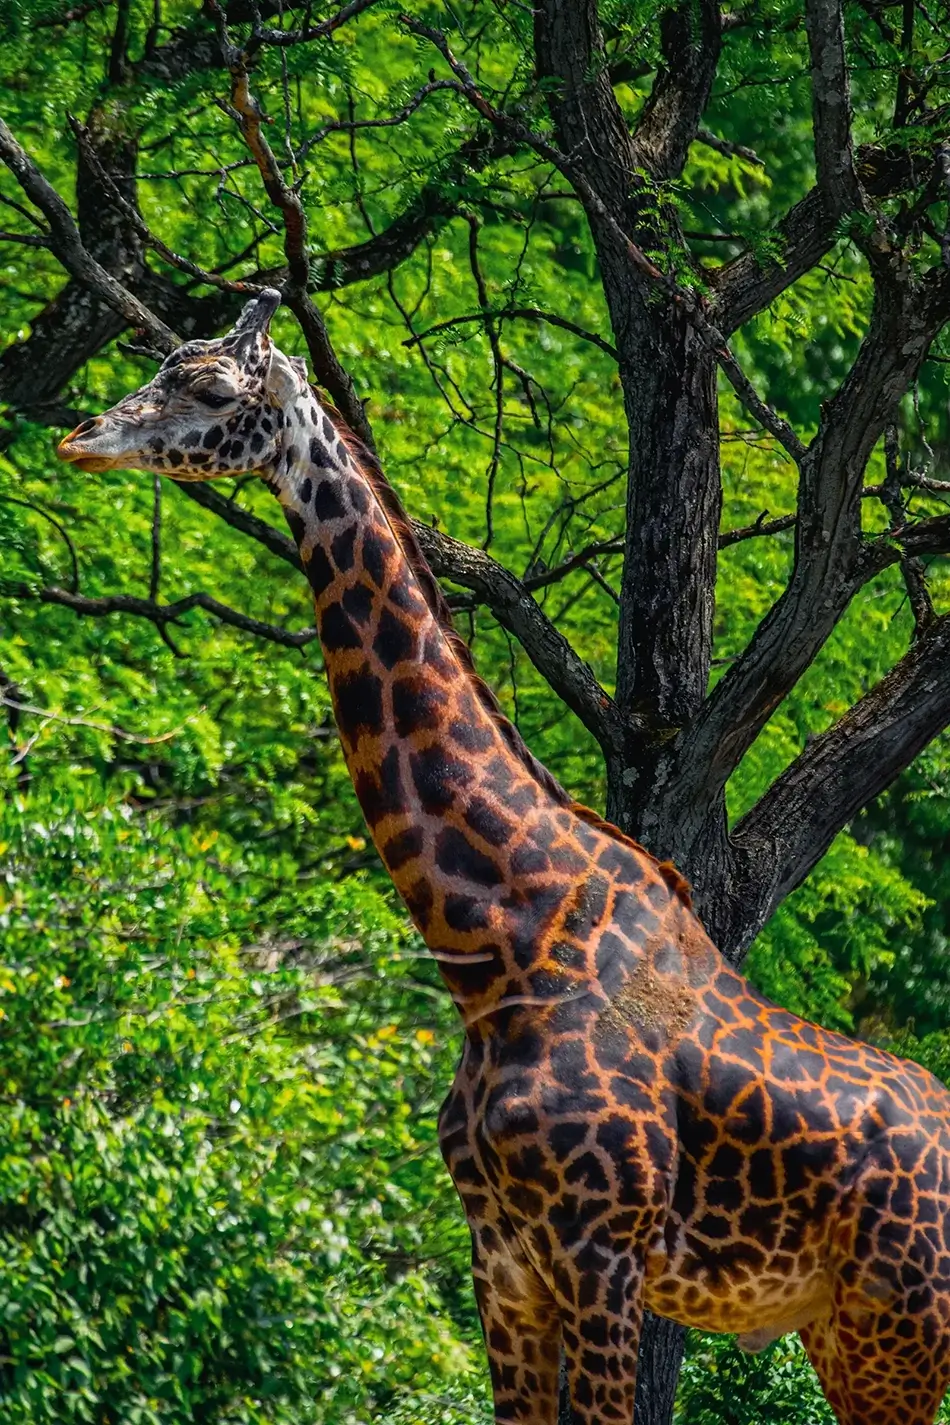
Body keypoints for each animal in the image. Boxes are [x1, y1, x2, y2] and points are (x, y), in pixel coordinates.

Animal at [58, 290, 950, 1425]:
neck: (501, 945)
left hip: (897, 1332)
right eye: (163, 362)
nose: (80, 437)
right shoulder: (503, 1255)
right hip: (848, 1333)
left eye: (211, 386)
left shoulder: (602, 1253)